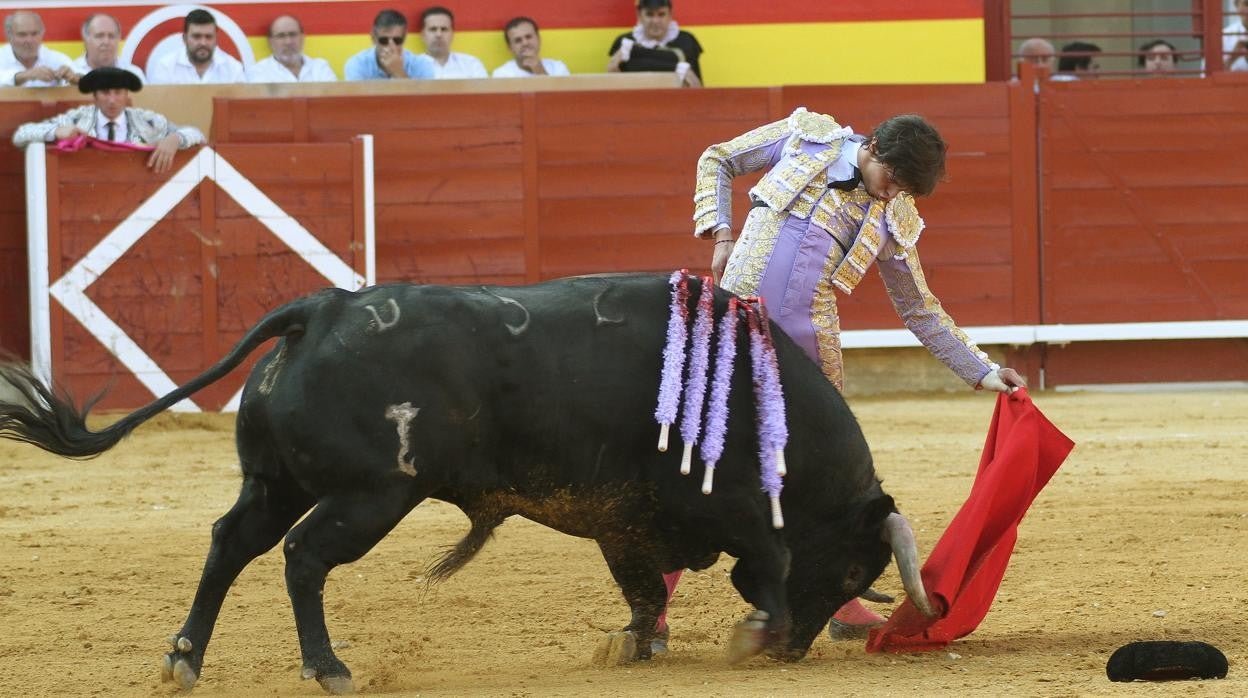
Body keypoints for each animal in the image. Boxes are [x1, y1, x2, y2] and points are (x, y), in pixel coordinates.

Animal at [0, 273, 933, 694]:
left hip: (274, 482)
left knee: (232, 544)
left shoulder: (623, 522)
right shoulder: (738, 511)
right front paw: (752, 637)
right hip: (370, 496)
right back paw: (328, 666)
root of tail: (323, 309)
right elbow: (769, 569)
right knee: (302, 559)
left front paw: (631, 645)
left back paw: (184, 659)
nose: (801, 650)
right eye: (858, 568)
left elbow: (641, 591)